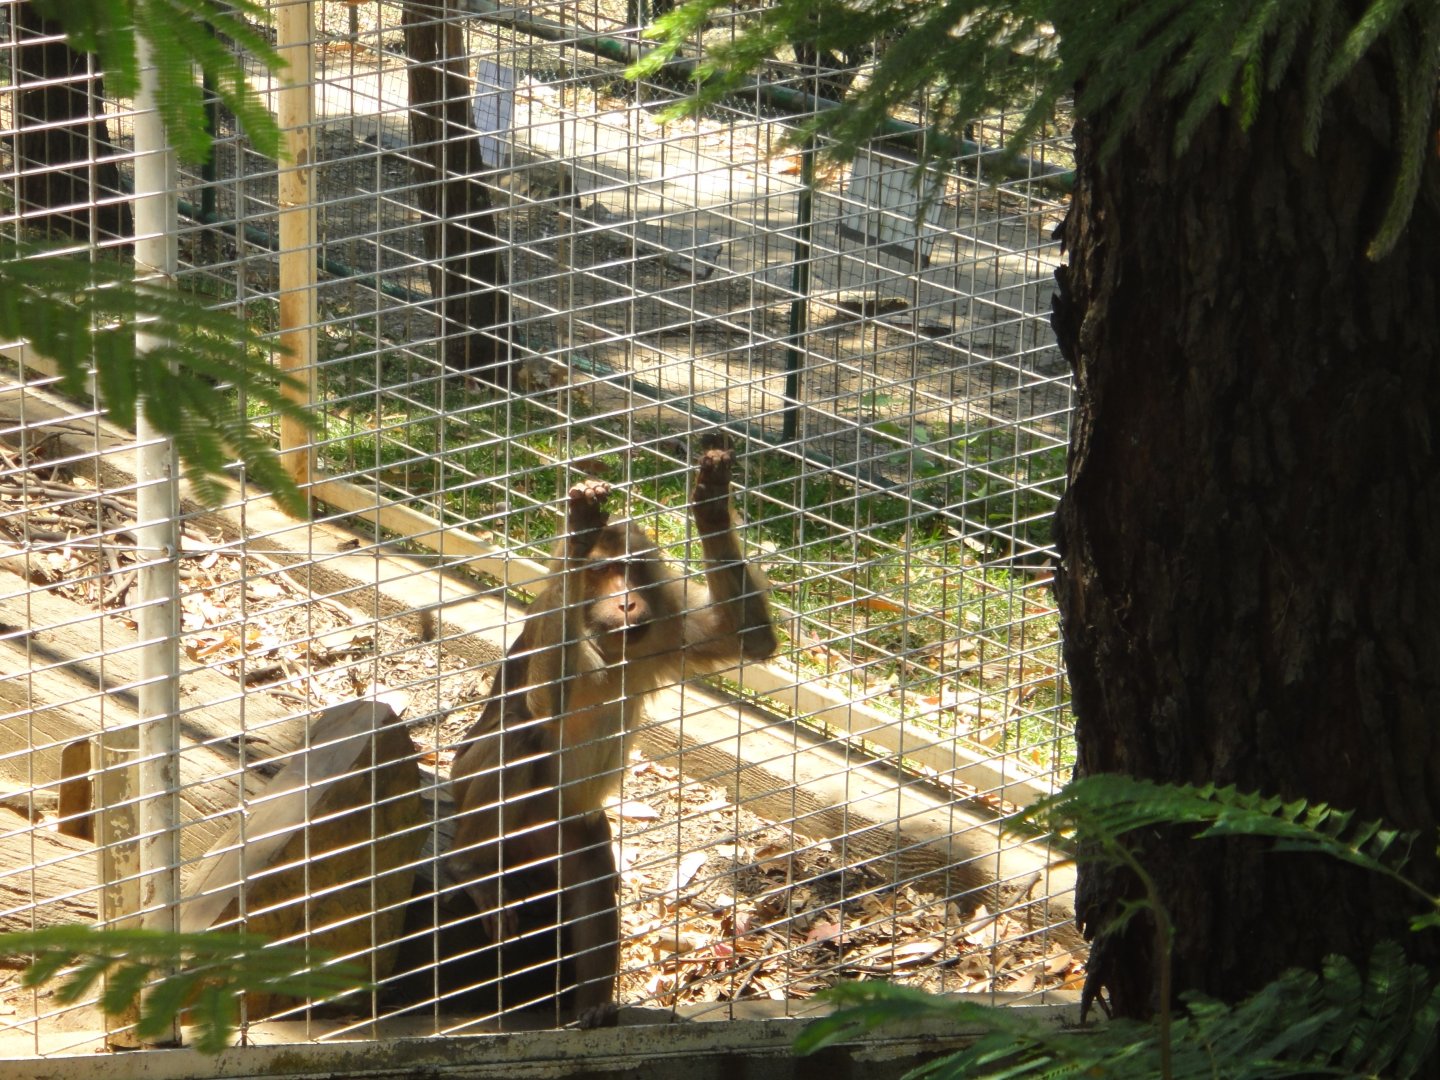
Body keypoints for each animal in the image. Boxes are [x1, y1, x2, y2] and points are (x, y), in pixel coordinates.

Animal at [446, 442, 777, 1024]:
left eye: (628, 570)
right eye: (601, 572)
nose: (625, 601)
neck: (611, 642)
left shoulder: (664, 625)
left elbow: (751, 639)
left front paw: (711, 502)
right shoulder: (553, 625)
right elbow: (543, 703)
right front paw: (578, 533)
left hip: (568, 831)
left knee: (594, 874)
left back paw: (595, 1006)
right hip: (467, 789)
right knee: (518, 739)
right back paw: (472, 867)